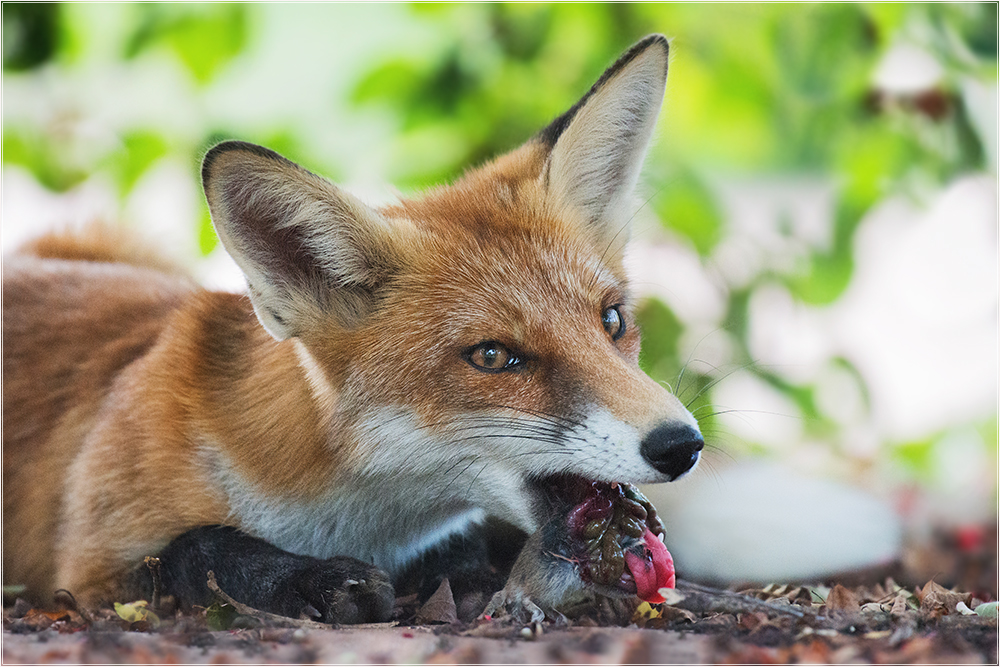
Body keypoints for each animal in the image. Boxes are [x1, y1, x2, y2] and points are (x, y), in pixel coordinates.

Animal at [1, 34, 704, 624]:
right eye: (492, 355)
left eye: (612, 320)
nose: (682, 444)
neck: (336, 507)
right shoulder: (87, 571)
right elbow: (192, 552)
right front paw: (309, 581)